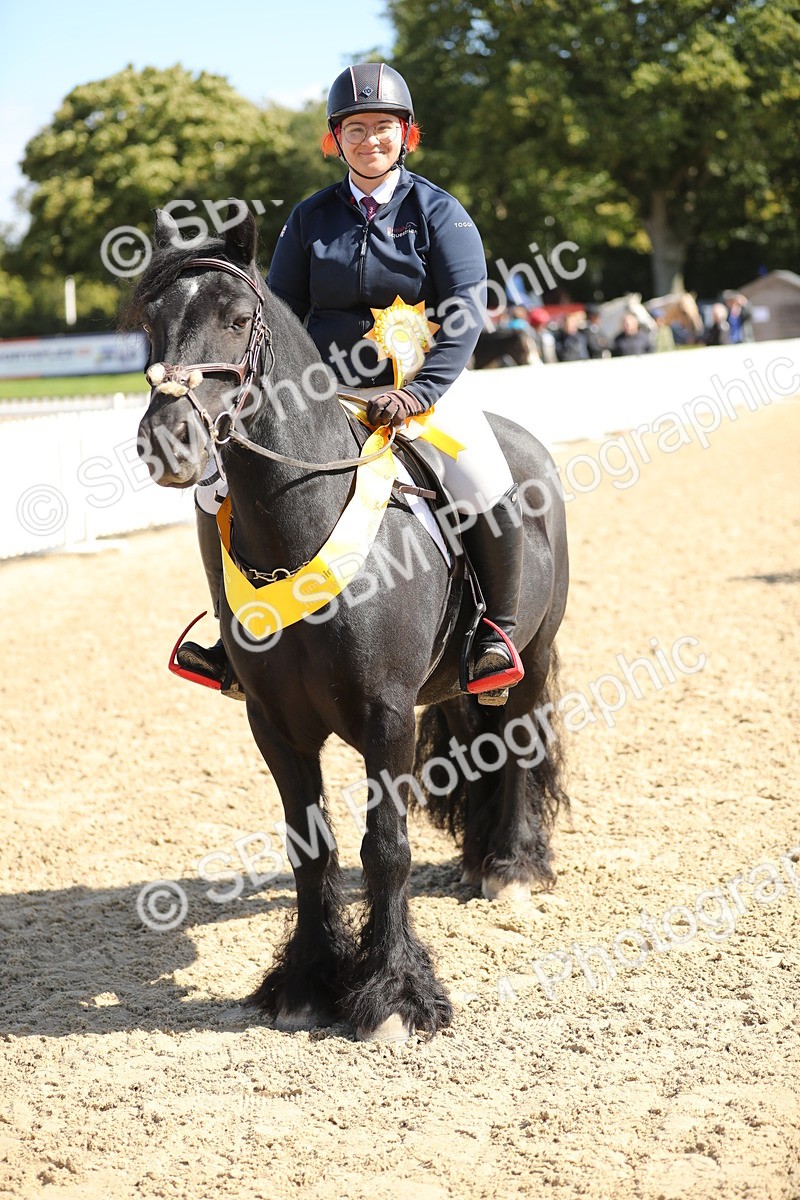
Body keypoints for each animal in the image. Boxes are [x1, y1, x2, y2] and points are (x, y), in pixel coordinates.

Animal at [131, 206, 570, 1041]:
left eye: (237, 322)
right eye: (149, 323)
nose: (169, 441)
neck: (301, 523)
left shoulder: (386, 716)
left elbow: (385, 848)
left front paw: (394, 994)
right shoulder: (274, 723)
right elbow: (313, 850)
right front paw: (306, 982)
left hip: (530, 654)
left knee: (520, 745)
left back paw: (511, 869)